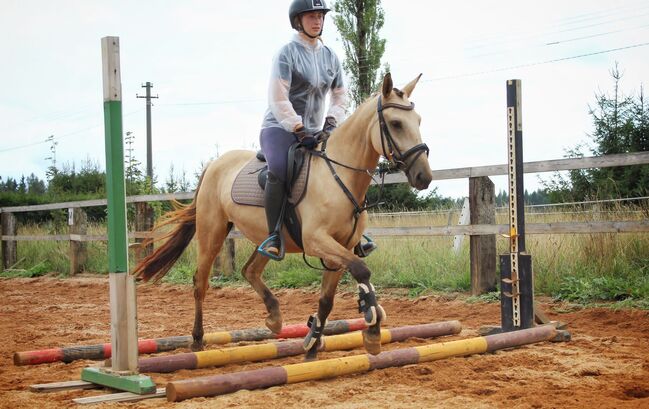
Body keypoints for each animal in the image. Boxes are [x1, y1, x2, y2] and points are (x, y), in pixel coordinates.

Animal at [132, 73, 432, 360]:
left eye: (418, 120)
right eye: (395, 123)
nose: (424, 177)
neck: (338, 177)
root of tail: (214, 164)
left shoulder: (342, 246)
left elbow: (328, 299)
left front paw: (312, 343)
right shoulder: (317, 241)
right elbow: (361, 270)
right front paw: (371, 325)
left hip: (268, 238)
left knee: (249, 270)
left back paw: (275, 318)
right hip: (212, 232)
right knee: (200, 282)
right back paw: (197, 340)